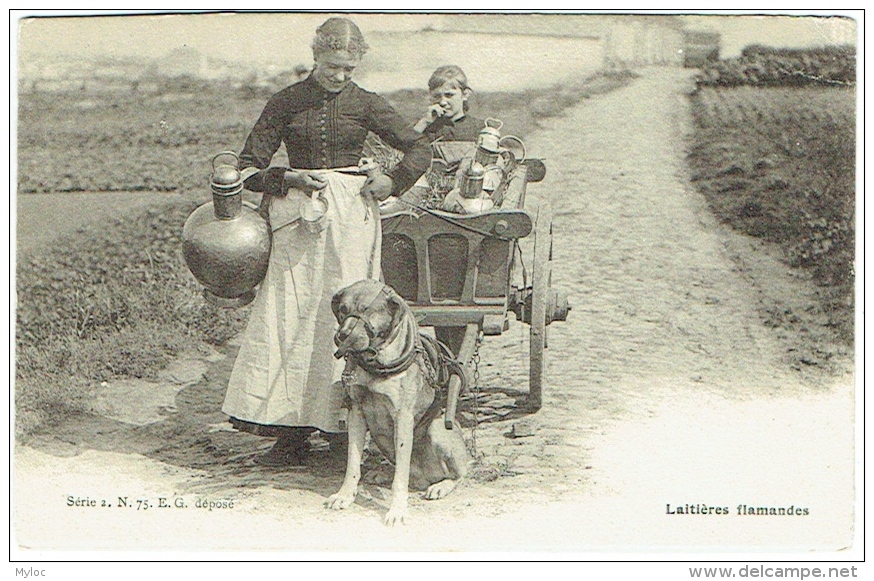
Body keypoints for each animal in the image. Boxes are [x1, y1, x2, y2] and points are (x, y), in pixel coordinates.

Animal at [322, 278, 470, 524]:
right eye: (343, 310)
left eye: (367, 310)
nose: (342, 336)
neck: (375, 363)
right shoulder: (356, 414)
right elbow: (353, 463)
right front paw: (344, 495)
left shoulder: (402, 418)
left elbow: (399, 479)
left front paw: (397, 510)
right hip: (383, 441)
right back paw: (381, 474)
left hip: (438, 428)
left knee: (460, 474)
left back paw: (440, 486)